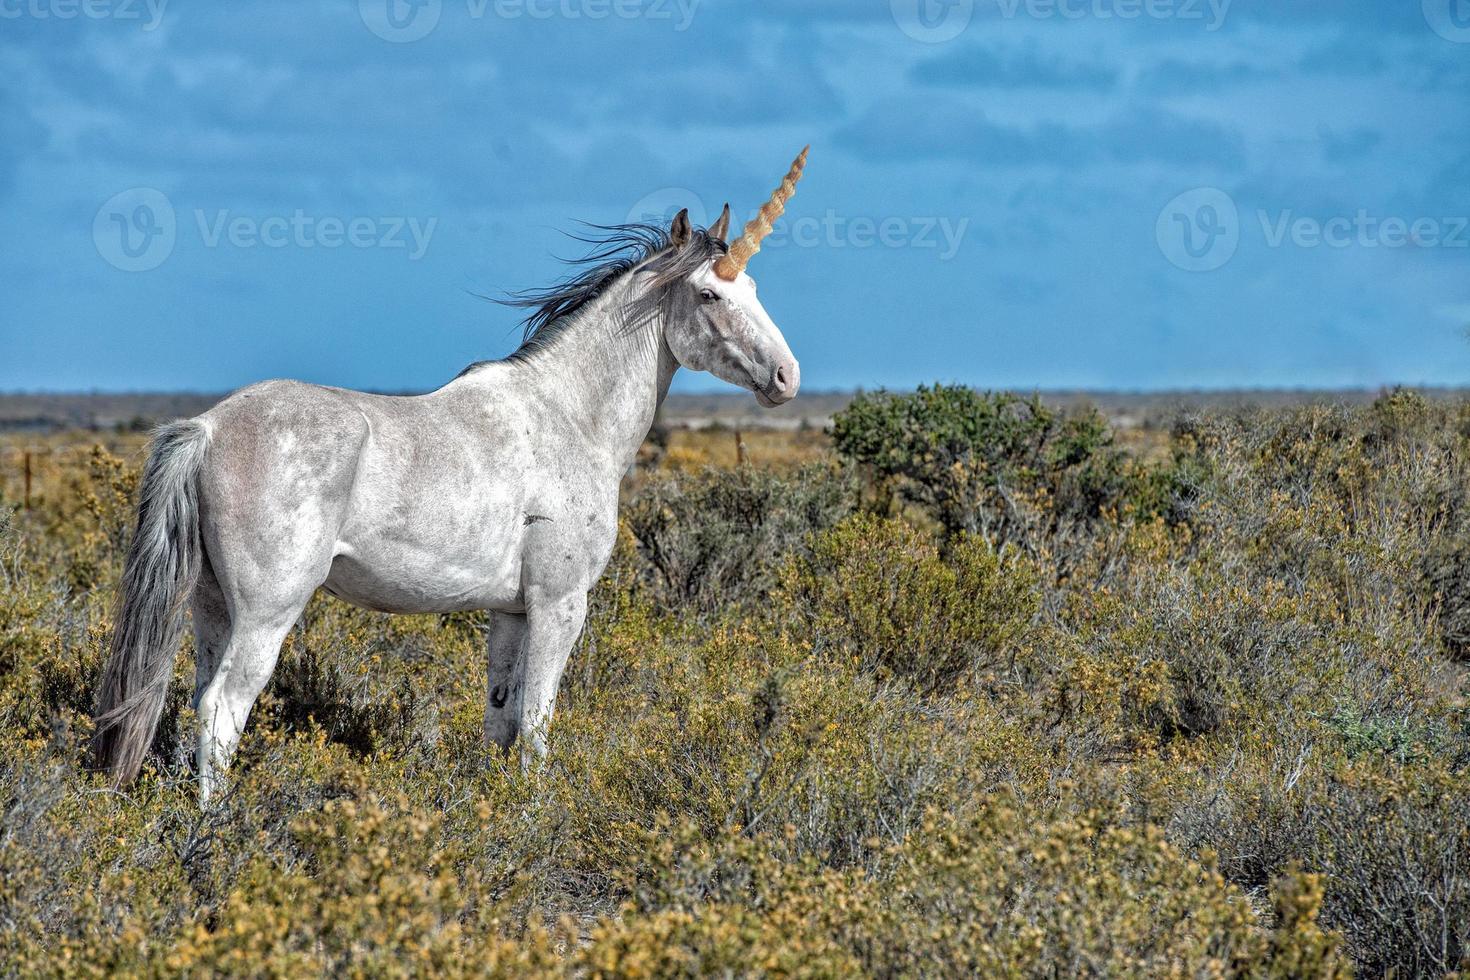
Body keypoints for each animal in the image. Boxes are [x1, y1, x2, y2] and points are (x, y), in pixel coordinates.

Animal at [91, 147, 811, 805]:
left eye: (753, 290)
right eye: (710, 293)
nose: (786, 377)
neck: (567, 414)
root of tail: (208, 428)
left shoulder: (510, 612)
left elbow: (501, 720)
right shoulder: (559, 604)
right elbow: (538, 722)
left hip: (211, 609)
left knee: (193, 700)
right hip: (268, 613)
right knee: (222, 710)